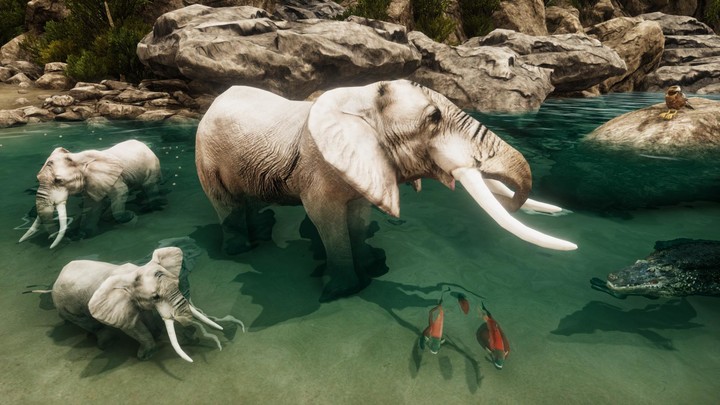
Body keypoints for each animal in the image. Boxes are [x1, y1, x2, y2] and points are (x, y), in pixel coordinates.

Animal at [18, 139, 162, 248]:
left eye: (58, 181)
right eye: (37, 178)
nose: (67, 240)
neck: (77, 159)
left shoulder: (114, 179)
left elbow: (121, 193)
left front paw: (130, 216)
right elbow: (93, 205)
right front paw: (84, 234)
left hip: (153, 166)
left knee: (149, 186)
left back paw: (150, 208)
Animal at [48, 247, 228, 362]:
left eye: (177, 284)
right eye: (156, 297)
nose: (195, 340)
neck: (134, 271)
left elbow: (146, 314)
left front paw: (157, 334)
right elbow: (133, 327)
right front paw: (145, 356)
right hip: (65, 305)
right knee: (87, 322)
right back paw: (106, 342)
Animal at [195, 79, 577, 302]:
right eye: (434, 118)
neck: (359, 96)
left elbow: (358, 216)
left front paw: (374, 269)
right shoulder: (319, 167)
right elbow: (326, 218)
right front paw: (341, 291)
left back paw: (263, 230)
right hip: (206, 155)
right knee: (226, 202)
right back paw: (241, 249)